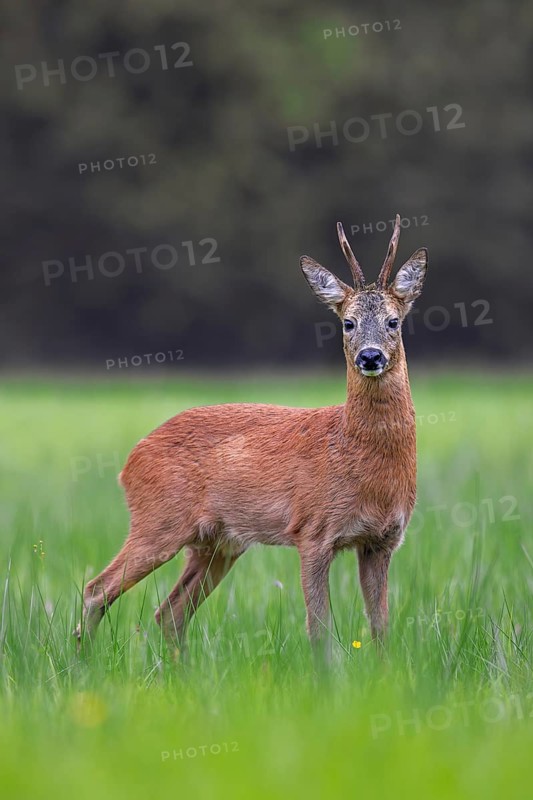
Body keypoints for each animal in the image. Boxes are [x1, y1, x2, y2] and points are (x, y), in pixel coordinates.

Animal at [74, 215, 428, 655]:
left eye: (393, 321)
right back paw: (82, 664)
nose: (370, 357)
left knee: (168, 612)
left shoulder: (382, 541)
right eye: (347, 323)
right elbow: (319, 630)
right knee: (96, 590)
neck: (355, 450)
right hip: (158, 521)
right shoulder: (312, 530)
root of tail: (129, 461)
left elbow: (380, 629)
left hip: (217, 542)